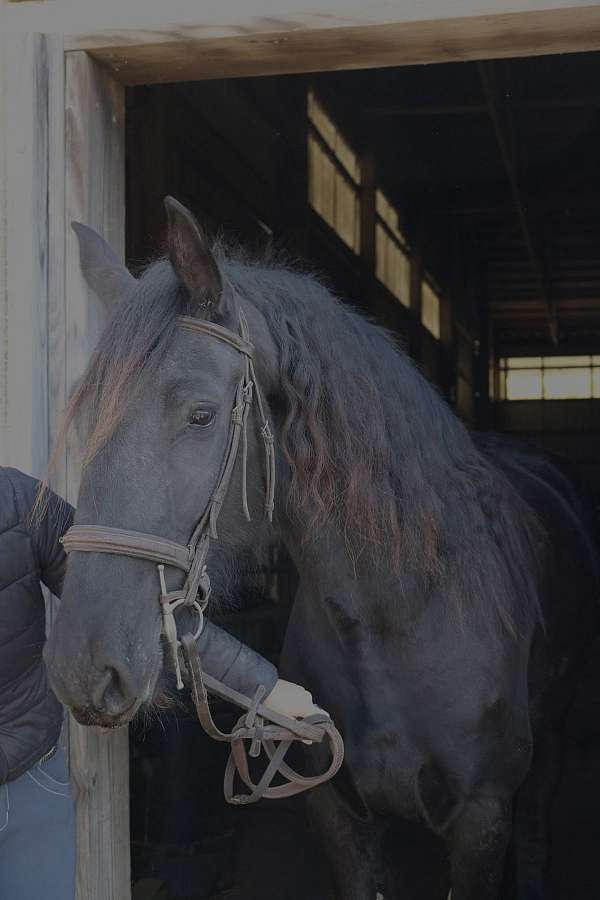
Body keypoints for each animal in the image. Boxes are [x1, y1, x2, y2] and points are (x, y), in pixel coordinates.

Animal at [44, 200, 596, 896]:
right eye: (89, 420)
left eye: (201, 414)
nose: (81, 666)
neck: (404, 619)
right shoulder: (337, 814)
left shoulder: (482, 821)